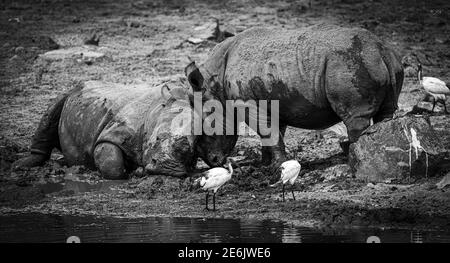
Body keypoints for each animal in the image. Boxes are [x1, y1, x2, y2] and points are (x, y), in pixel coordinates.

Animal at [12, 78, 237, 179]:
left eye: (191, 149)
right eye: (156, 139)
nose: (166, 168)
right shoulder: (113, 133)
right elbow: (112, 164)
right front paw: (136, 170)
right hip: (70, 92)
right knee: (53, 108)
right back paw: (21, 165)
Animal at [185, 24, 402, 165]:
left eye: (207, 129)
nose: (213, 162)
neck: (214, 83)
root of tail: (380, 50)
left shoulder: (248, 103)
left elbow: (268, 132)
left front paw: (278, 166)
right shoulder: (273, 101)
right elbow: (274, 133)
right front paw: (265, 165)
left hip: (347, 62)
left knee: (355, 117)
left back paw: (355, 161)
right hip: (386, 61)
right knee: (386, 113)